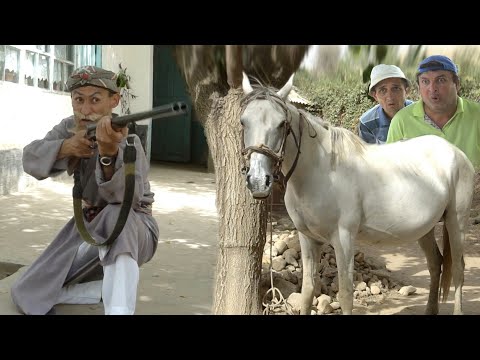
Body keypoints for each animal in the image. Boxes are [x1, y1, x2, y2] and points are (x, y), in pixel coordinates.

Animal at [242, 71, 474, 314]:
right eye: (243, 122)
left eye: (281, 124)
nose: (258, 181)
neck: (322, 171)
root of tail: (456, 152)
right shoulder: (307, 238)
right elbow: (307, 292)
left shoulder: (343, 238)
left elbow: (345, 294)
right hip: (425, 229)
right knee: (435, 263)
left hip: (456, 221)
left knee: (458, 270)